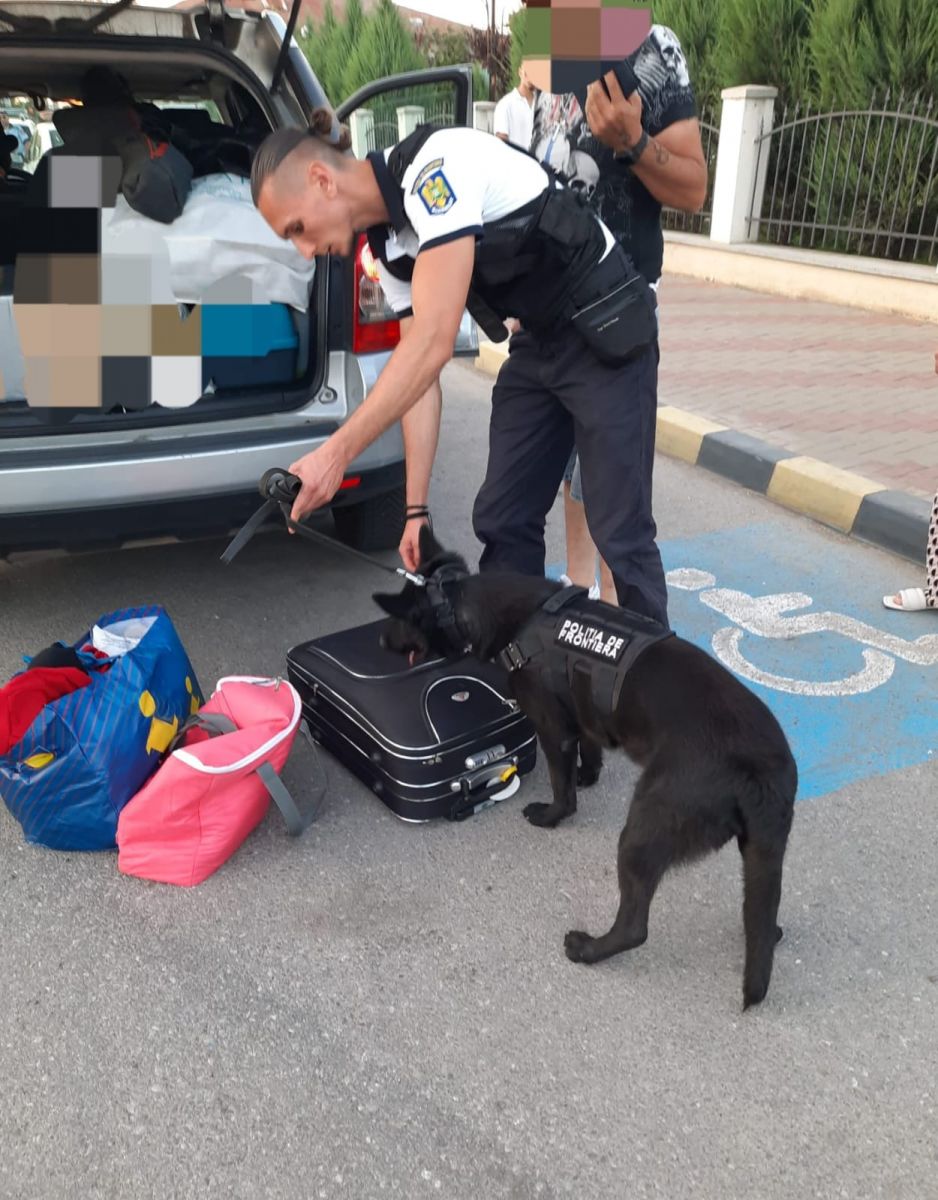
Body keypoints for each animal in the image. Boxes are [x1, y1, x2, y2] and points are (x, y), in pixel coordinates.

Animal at [374, 526, 797, 1010]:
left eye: (400, 620)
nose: (379, 642)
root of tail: (761, 769)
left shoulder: (553, 728)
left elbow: (562, 788)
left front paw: (552, 815)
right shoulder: (584, 714)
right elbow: (590, 752)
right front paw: (588, 775)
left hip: (644, 829)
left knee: (635, 927)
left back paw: (588, 949)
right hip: (760, 853)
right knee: (762, 907)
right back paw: (771, 931)